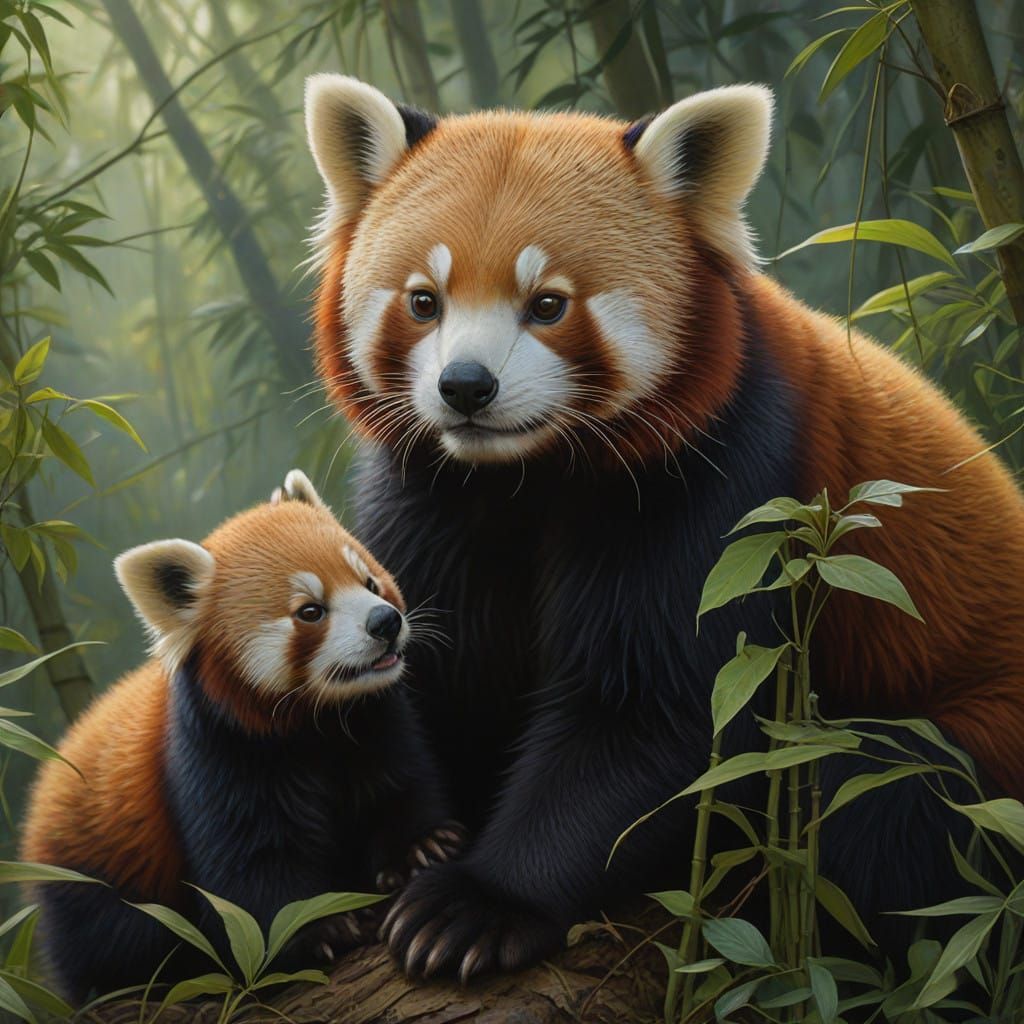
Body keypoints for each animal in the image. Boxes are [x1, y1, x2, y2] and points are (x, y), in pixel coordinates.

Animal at [303, 74, 1024, 981]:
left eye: (548, 305)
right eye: (424, 302)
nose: (465, 387)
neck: (527, 478)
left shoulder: (728, 477)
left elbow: (653, 714)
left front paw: (477, 905)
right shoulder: (433, 498)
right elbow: (424, 667)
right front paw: (401, 845)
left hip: (976, 748)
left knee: (874, 812)